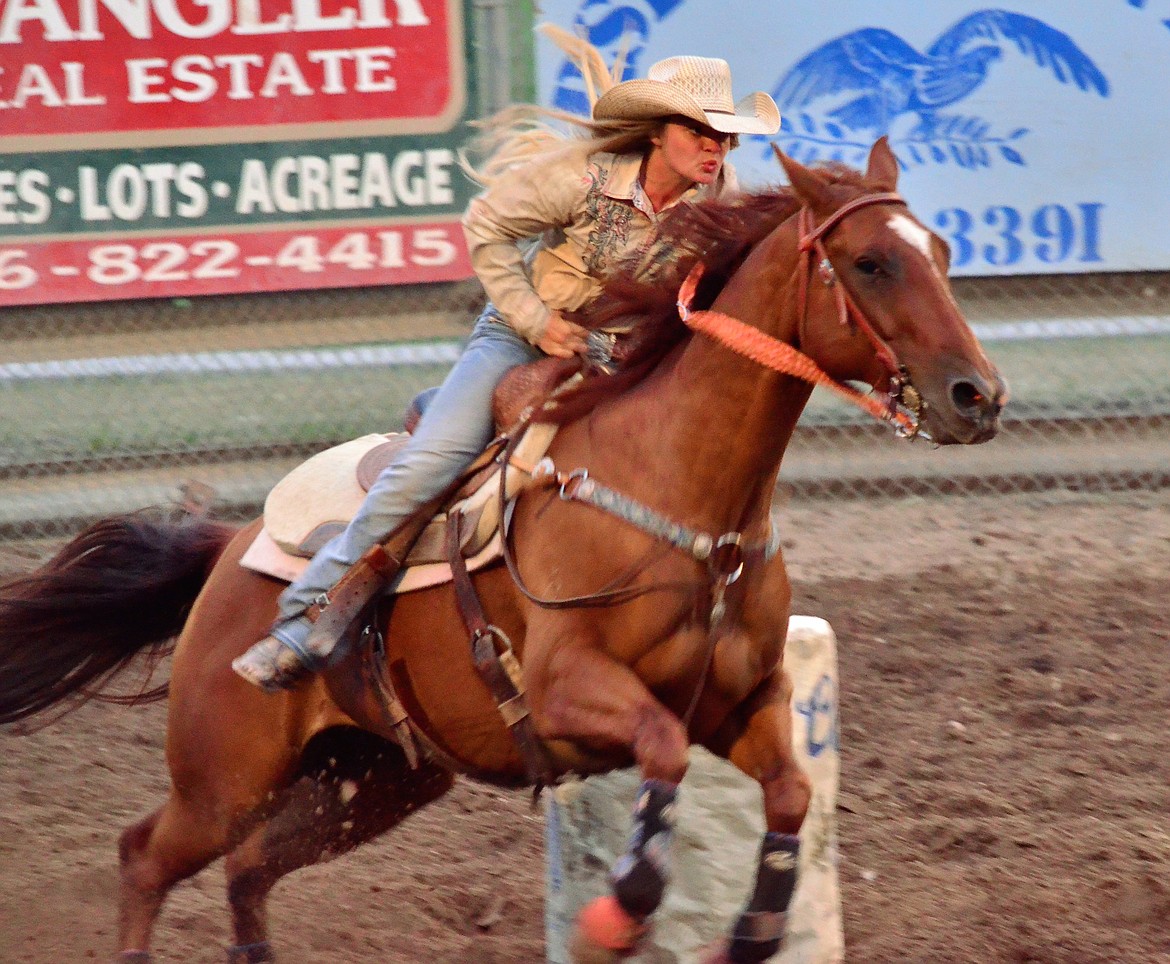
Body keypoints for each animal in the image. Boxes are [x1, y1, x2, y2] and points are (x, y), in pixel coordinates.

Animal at [0, 139, 1006, 959]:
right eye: (870, 262)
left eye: (943, 253)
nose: (978, 396)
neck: (679, 487)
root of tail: (227, 550)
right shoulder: (571, 688)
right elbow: (661, 758)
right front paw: (615, 916)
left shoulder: (742, 700)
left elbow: (792, 796)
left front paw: (753, 932)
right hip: (225, 777)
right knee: (145, 857)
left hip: (372, 778)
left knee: (247, 871)